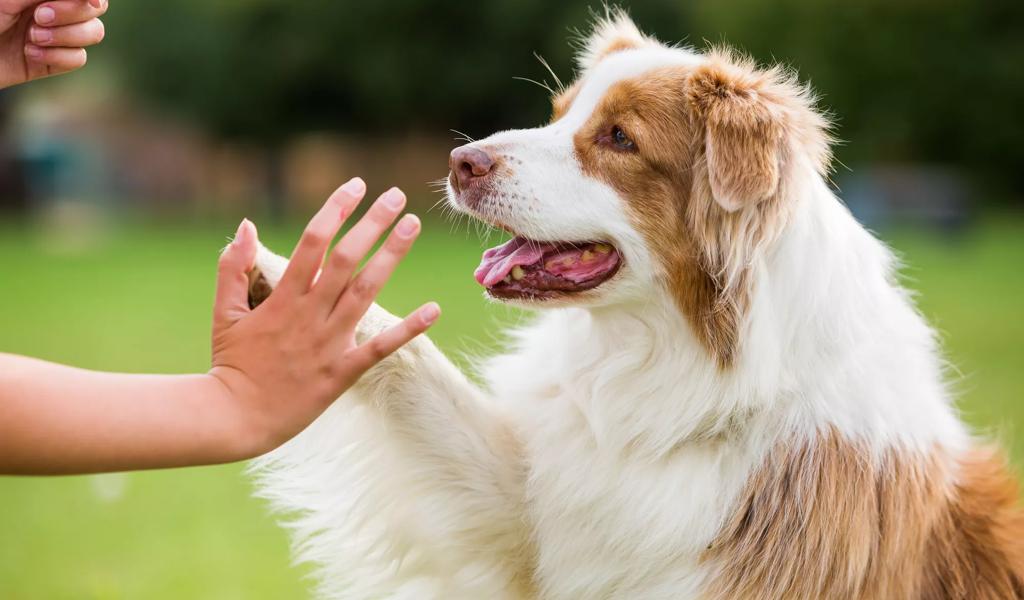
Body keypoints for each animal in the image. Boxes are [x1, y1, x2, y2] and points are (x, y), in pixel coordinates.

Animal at [247, 10, 1024, 597]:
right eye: (557, 116)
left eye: (620, 138)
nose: (460, 162)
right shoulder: (531, 515)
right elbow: (416, 365)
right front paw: (291, 287)